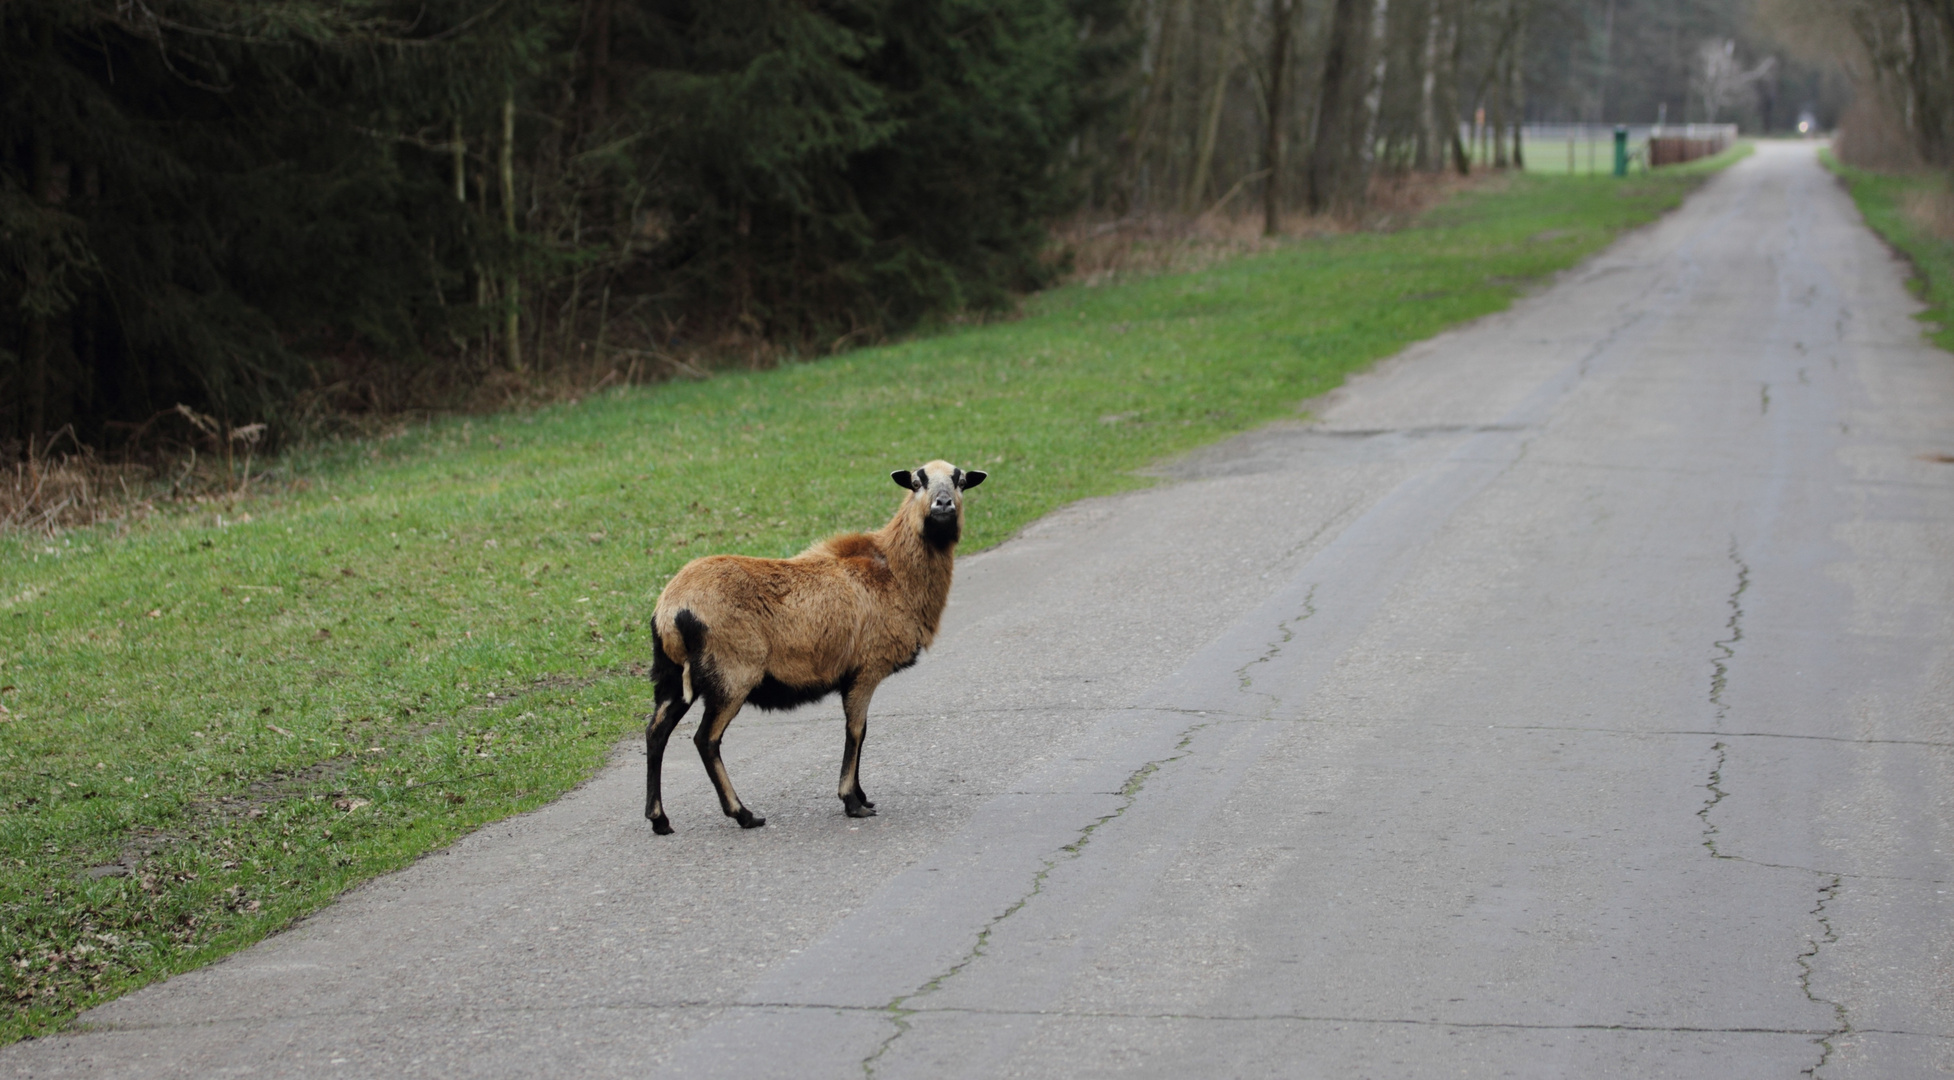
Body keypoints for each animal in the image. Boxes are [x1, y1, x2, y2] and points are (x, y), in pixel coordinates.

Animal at [644, 458, 984, 828]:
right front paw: (853, 801)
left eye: (960, 481)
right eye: (917, 482)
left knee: (656, 733)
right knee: (706, 740)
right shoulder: (867, 668)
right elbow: (856, 730)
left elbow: (861, 730)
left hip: (672, 676)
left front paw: (862, 795)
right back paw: (743, 814)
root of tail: (671, 610)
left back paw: (659, 820)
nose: (943, 505)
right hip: (731, 675)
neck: (894, 570)